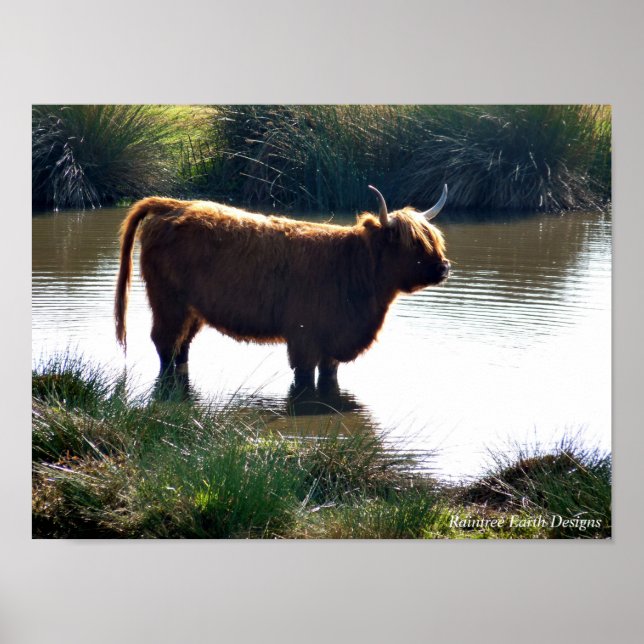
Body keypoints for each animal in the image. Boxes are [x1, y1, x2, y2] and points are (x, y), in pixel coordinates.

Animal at [115, 184, 450, 386]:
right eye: (413, 244)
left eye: (434, 240)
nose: (444, 267)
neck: (352, 267)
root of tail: (173, 205)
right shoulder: (303, 340)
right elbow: (304, 382)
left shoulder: (333, 342)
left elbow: (328, 380)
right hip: (168, 302)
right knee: (165, 344)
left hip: (192, 310)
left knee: (181, 348)